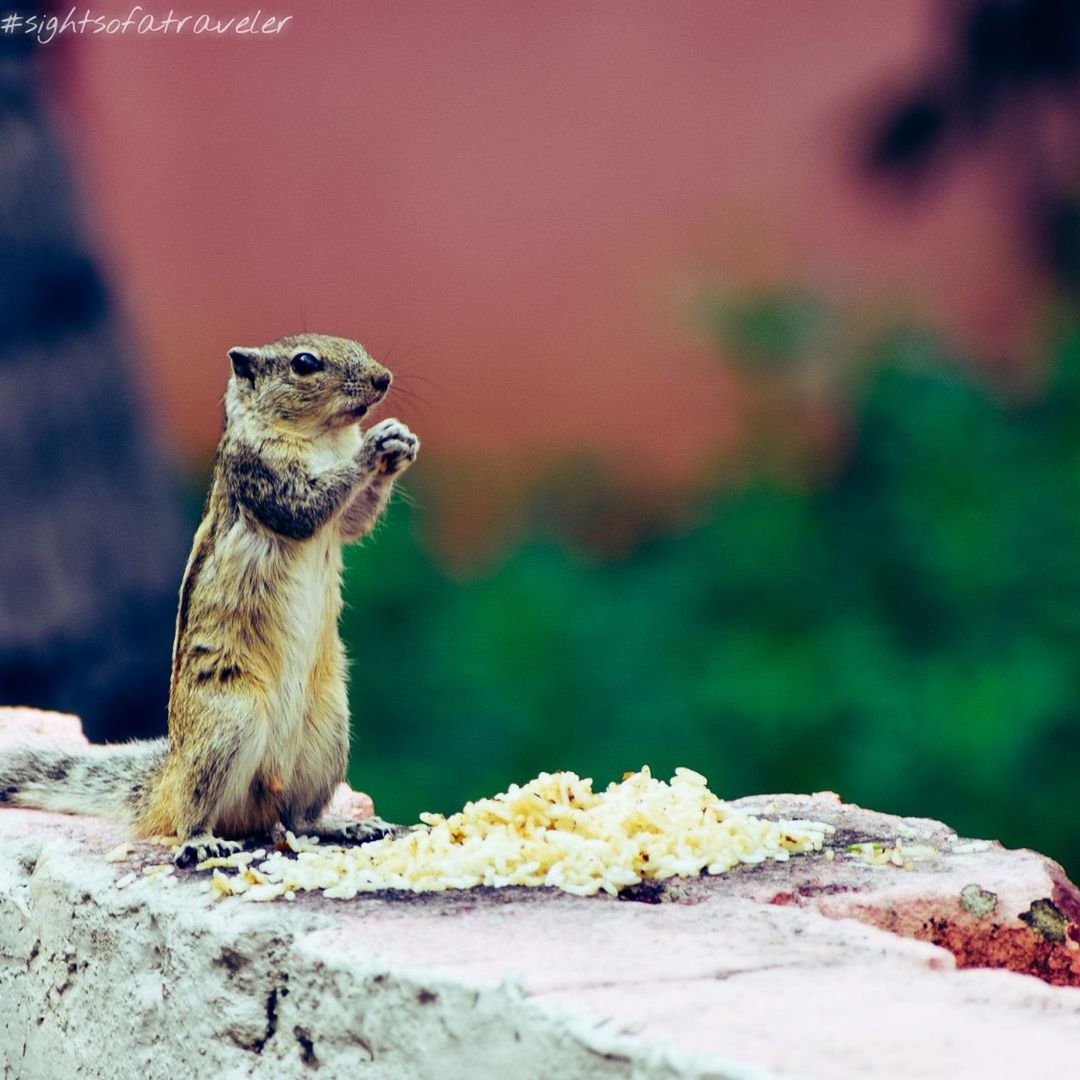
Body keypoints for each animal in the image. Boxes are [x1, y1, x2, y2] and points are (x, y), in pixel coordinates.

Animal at [0, 332, 416, 864]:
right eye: (305, 363)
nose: (383, 379)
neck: (323, 438)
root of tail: (166, 784)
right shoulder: (260, 475)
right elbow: (304, 508)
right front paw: (372, 448)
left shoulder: (337, 516)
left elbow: (352, 520)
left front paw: (400, 444)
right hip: (227, 727)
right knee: (195, 812)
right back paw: (202, 841)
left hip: (327, 734)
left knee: (299, 817)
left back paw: (342, 826)